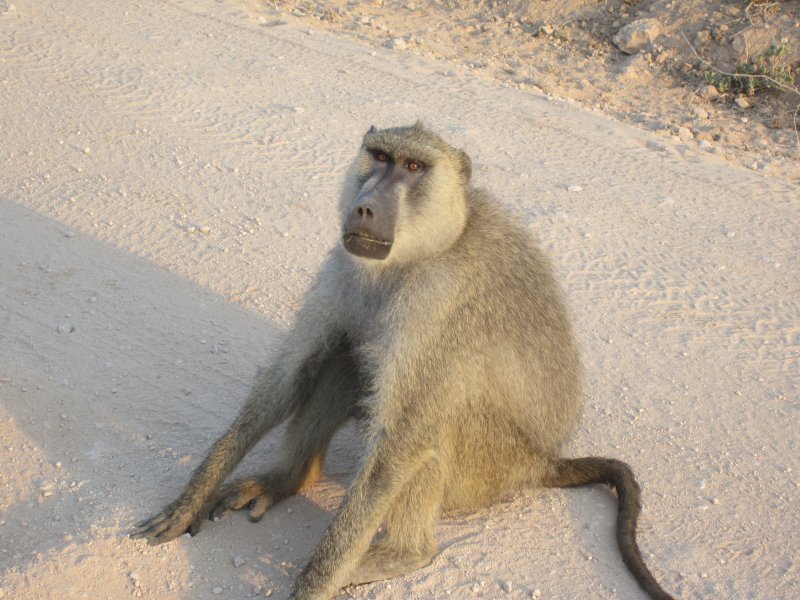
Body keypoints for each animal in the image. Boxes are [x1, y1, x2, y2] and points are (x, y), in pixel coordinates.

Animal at [132, 122, 673, 600]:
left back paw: (403, 553)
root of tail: (543, 461)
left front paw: (314, 585)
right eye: (379, 157)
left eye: (414, 167)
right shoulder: (344, 263)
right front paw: (188, 501)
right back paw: (290, 480)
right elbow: (290, 375)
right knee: (345, 359)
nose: (365, 207)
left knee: (432, 427)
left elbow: (399, 445)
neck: (422, 252)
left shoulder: (438, 300)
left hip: (490, 471)